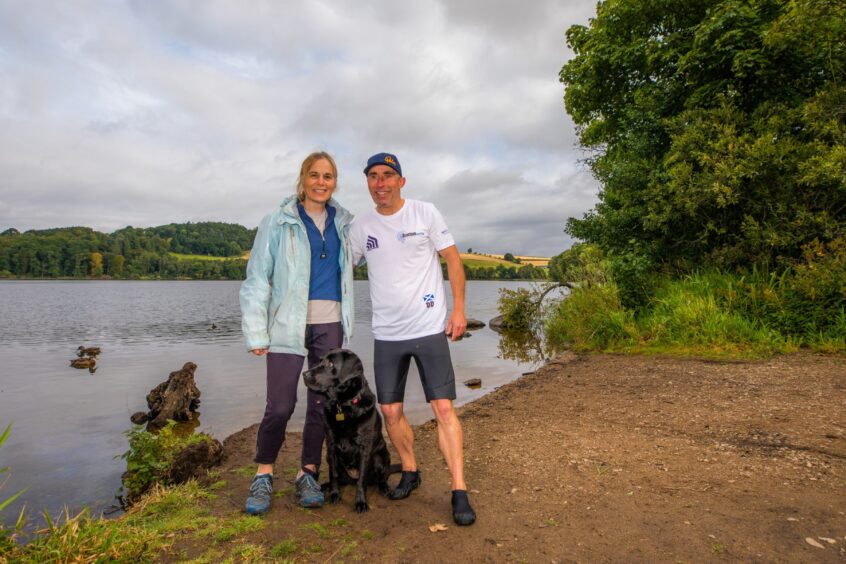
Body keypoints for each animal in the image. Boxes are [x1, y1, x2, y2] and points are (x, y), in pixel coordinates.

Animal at [304, 348, 400, 512]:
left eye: (330, 364)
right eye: (320, 360)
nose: (305, 374)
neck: (343, 405)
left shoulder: (364, 448)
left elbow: (362, 479)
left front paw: (361, 502)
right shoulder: (331, 445)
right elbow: (334, 474)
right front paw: (334, 494)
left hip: (380, 456)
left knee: (380, 478)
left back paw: (384, 488)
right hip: (329, 458)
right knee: (341, 478)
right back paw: (326, 486)